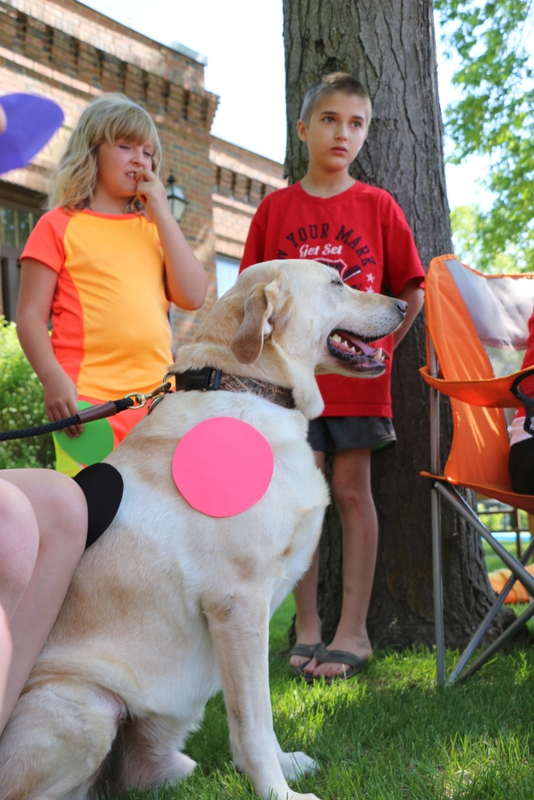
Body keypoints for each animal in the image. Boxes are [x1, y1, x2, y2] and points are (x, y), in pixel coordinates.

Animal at [0, 260, 406, 800]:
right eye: (337, 282)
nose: (403, 305)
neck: (244, 383)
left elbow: (261, 717)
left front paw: (286, 767)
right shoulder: (238, 603)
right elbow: (254, 720)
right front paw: (277, 791)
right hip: (83, 708)